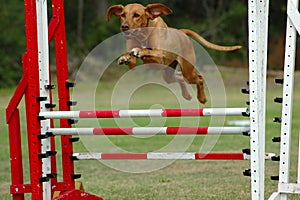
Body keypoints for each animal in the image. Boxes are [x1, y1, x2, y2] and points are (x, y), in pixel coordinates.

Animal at [106, 3, 243, 104]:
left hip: (188, 70)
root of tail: (182, 32)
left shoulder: (160, 56)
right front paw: (125, 57)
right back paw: (186, 94)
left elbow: (147, 50)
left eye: (136, 15)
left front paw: (139, 50)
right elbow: (131, 56)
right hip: (168, 73)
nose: (124, 26)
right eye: (123, 15)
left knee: (198, 78)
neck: (144, 34)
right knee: (179, 76)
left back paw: (202, 98)